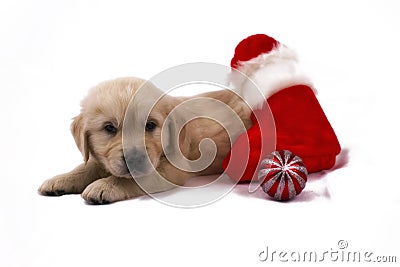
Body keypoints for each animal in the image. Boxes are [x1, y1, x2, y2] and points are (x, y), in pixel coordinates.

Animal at [37, 77, 250, 205]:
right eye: (109, 128)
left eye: (150, 125)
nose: (135, 158)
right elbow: (85, 166)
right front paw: (60, 179)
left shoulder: (173, 168)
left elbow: (133, 179)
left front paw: (105, 185)